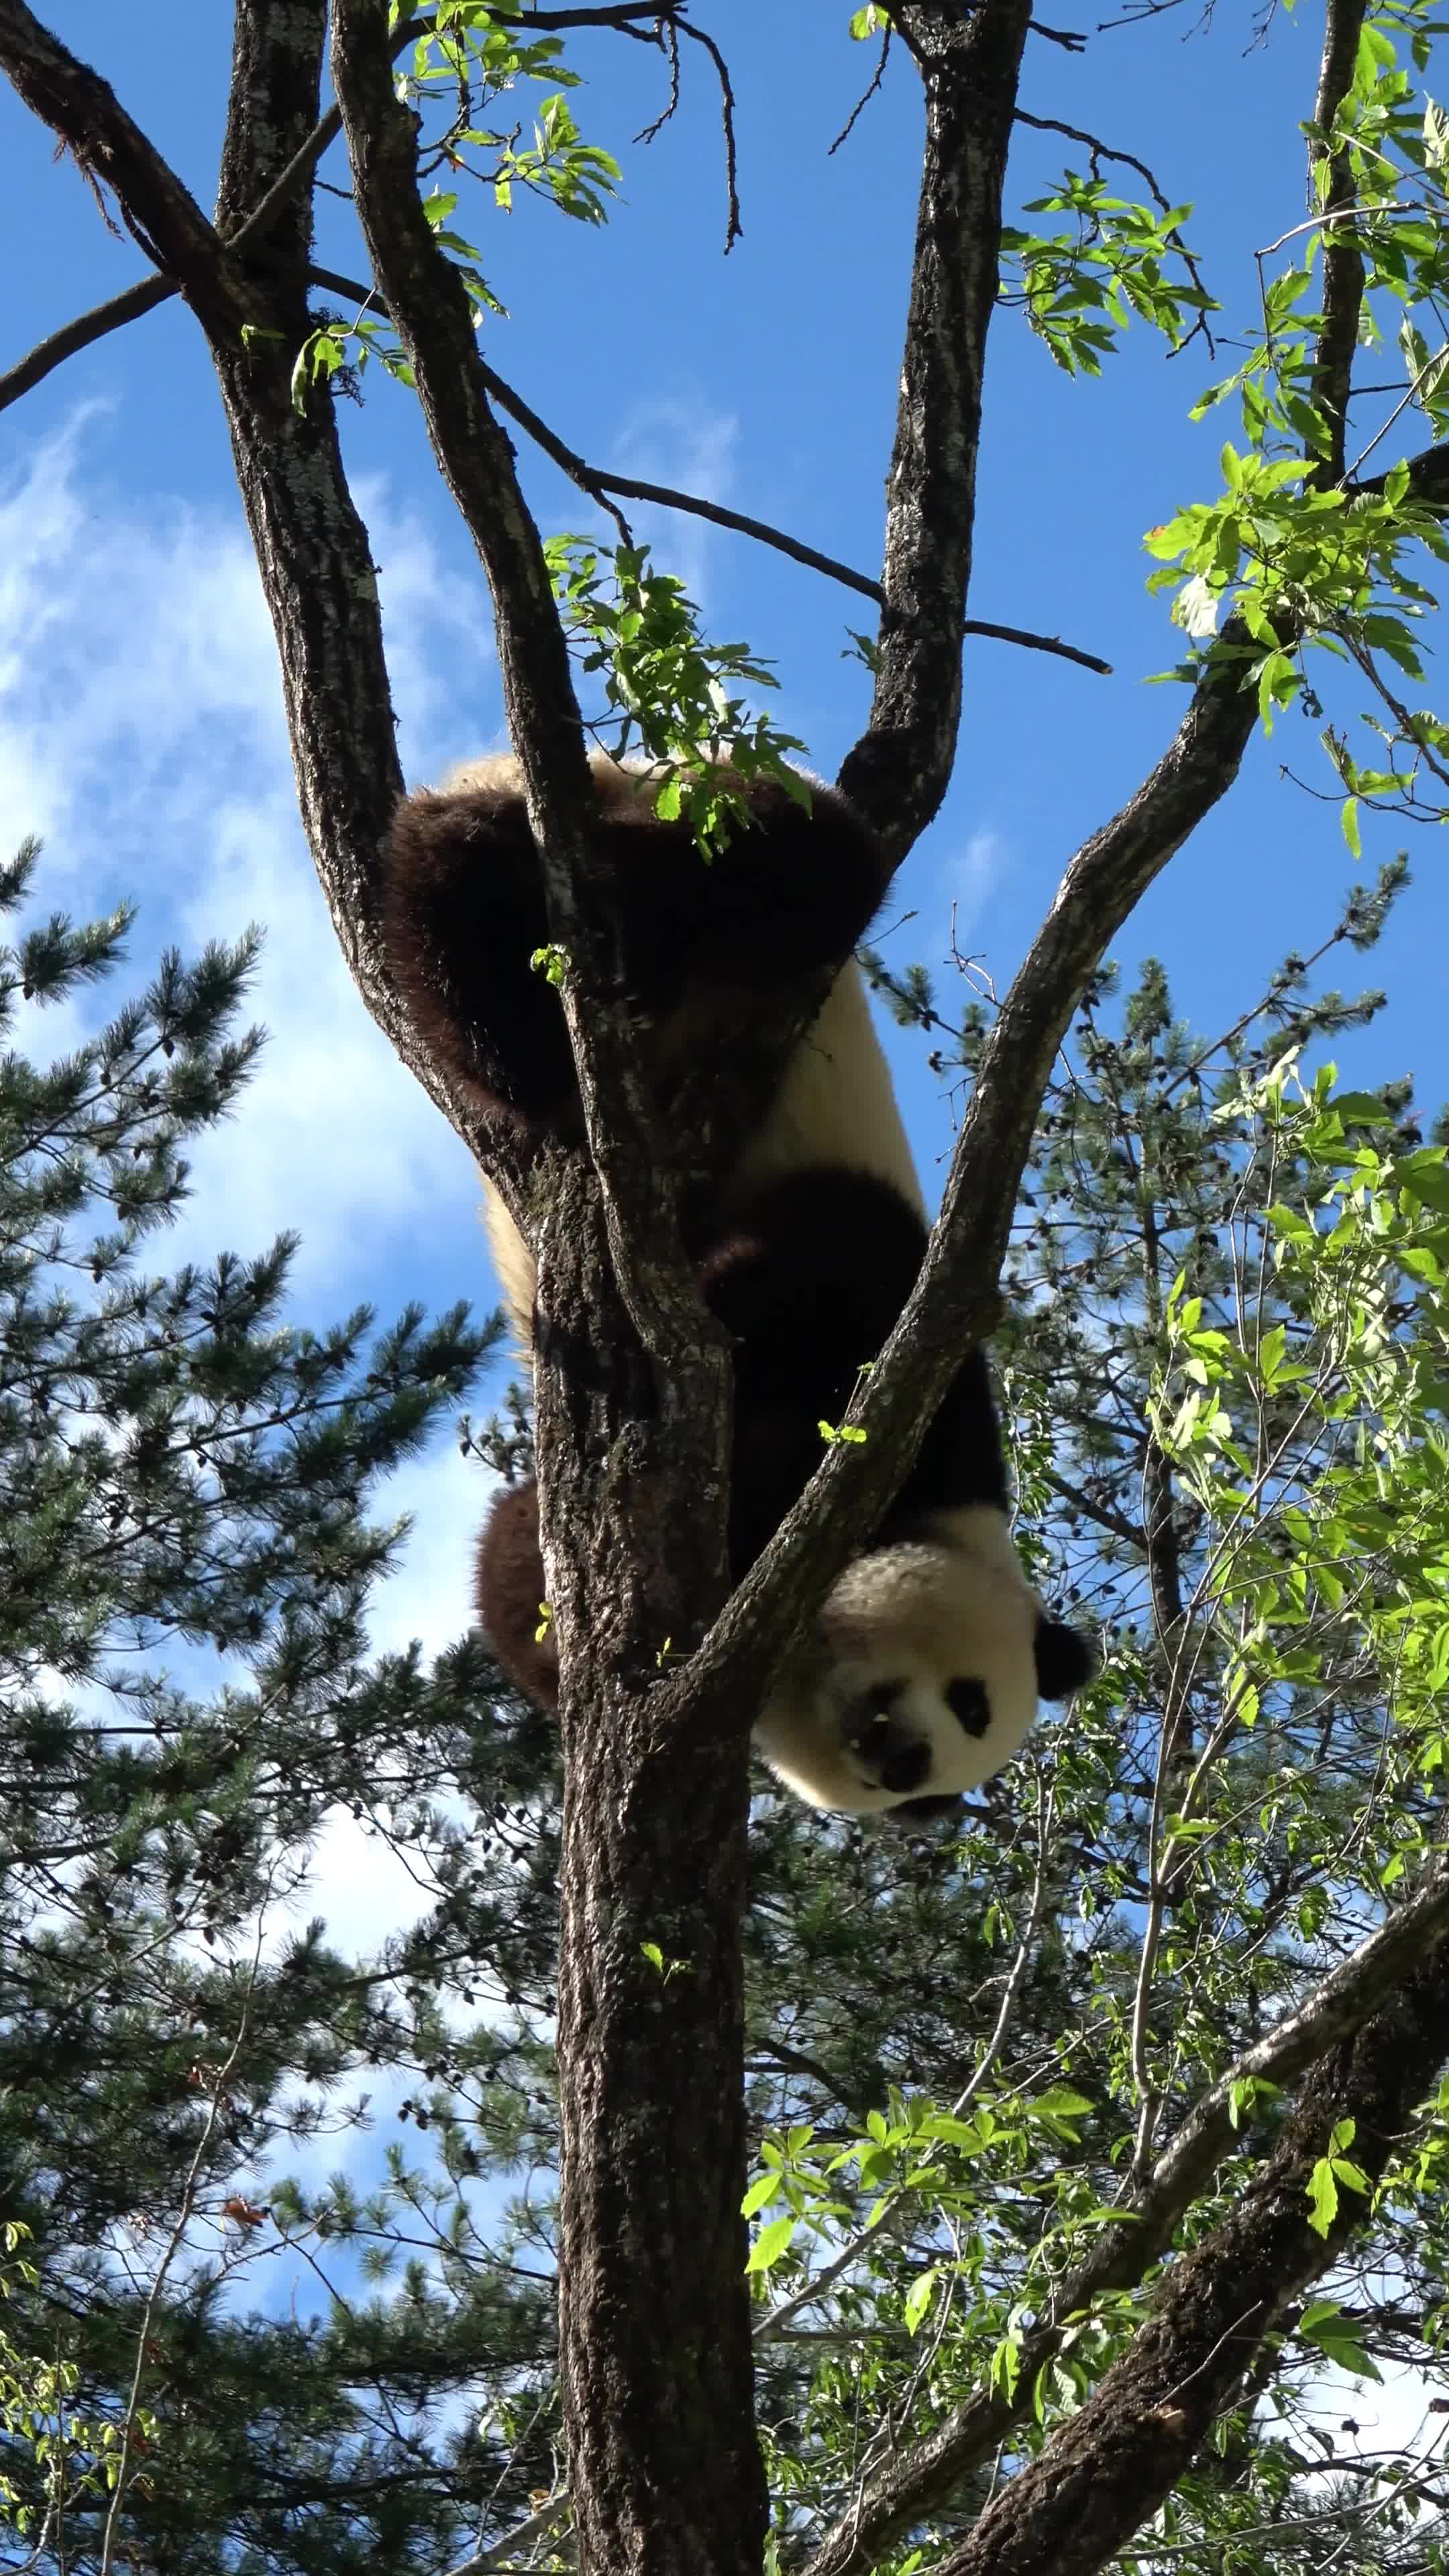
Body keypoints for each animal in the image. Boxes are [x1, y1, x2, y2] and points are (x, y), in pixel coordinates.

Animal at [378, 752, 1087, 1823]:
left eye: (957, 1755)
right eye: (971, 1699)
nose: (906, 1764)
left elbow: (514, 1566)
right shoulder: (901, 1314)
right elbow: (776, 1295)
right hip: (694, 817)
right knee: (799, 868)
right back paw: (590, 925)